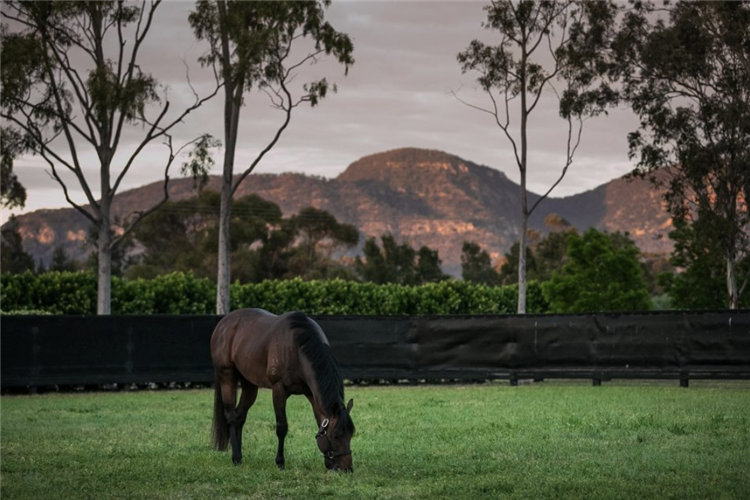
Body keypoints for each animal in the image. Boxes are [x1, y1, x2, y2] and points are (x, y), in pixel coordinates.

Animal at [209, 306, 356, 470]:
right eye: (336, 435)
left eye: (351, 434)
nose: (346, 468)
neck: (297, 347)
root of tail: (223, 323)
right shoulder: (279, 390)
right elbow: (281, 427)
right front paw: (280, 462)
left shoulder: (311, 394)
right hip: (227, 377)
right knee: (231, 417)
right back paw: (235, 457)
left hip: (249, 384)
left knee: (240, 416)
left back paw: (239, 457)